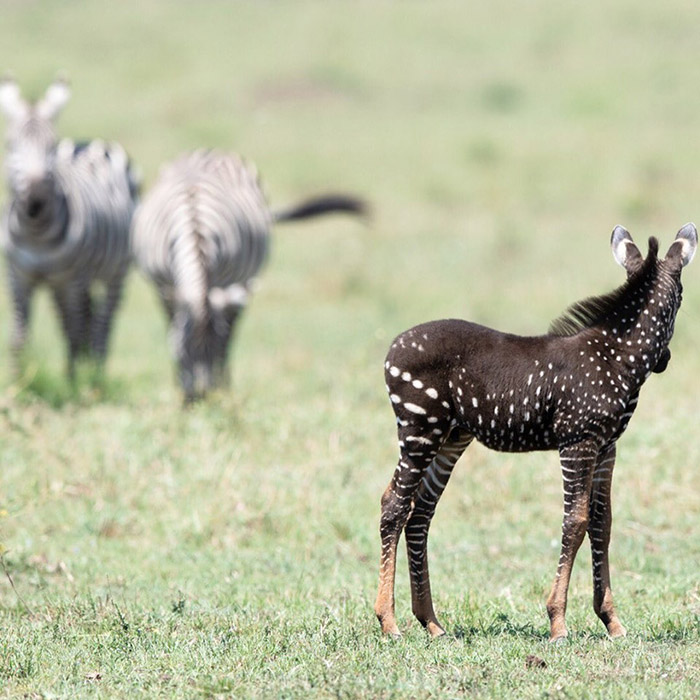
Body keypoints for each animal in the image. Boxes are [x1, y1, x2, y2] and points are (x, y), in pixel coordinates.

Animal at [0, 79, 138, 380]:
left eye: (51, 146)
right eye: (10, 145)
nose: (36, 200)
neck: (35, 234)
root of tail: (89, 142)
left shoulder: (71, 279)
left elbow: (73, 333)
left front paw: (74, 383)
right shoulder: (18, 276)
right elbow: (18, 337)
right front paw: (17, 382)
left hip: (115, 271)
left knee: (101, 324)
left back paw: (96, 372)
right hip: (63, 282)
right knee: (81, 318)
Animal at [133, 149, 370, 400]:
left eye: (216, 352)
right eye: (183, 352)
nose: (203, 398)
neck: (195, 230)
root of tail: (212, 151)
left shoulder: (226, 285)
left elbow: (226, 337)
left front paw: (222, 385)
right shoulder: (164, 286)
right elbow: (172, 327)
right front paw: (179, 385)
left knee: (234, 326)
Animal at [374, 224, 696, 640]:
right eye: (681, 301)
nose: (666, 361)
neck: (615, 357)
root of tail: (393, 346)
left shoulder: (607, 446)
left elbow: (602, 522)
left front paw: (611, 620)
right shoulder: (578, 442)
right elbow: (575, 522)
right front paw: (558, 621)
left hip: (450, 438)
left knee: (420, 514)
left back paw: (431, 622)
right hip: (419, 430)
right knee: (394, 506)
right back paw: (389, 621)